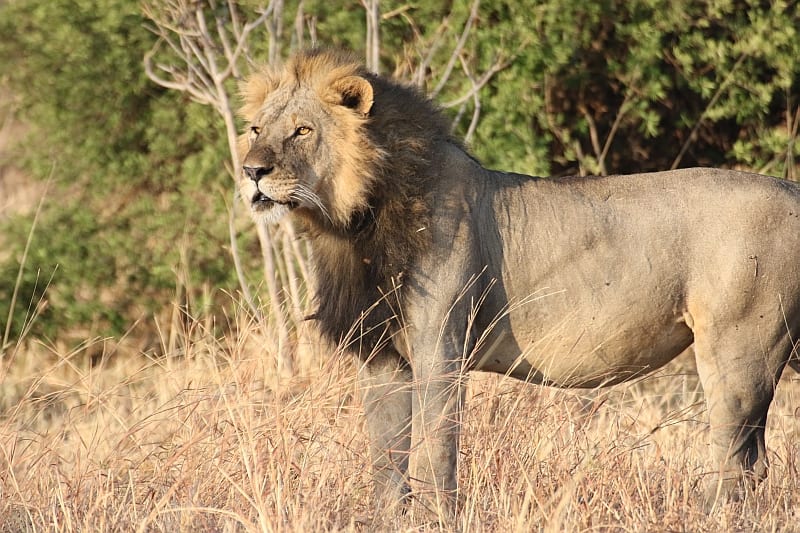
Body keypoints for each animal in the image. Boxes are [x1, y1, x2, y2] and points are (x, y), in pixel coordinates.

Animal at [238, 48, 800, 518]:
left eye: (302, 130)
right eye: (256, 129)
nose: (251, 171)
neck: (355, 224)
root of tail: (792, 188)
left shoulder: (441, 347)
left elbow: (434, 450)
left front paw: (436, 519)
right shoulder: (384, 358)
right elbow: (386, 459)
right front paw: (386, 519)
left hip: (738, 351)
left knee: (738, 460)